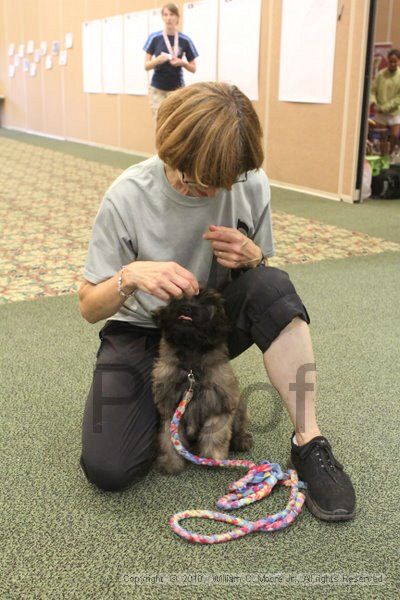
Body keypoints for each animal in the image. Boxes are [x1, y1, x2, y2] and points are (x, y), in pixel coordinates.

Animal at [152, 288, 252, 474]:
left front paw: (213, 459)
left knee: (239, 427)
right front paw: (171, 462)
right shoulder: (170, 410)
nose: (186, 308)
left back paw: (242, 440)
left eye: (204, 303)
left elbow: (214, 436)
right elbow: (169, 438)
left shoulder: (217, 408)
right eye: (178, 299)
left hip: (239, 408)